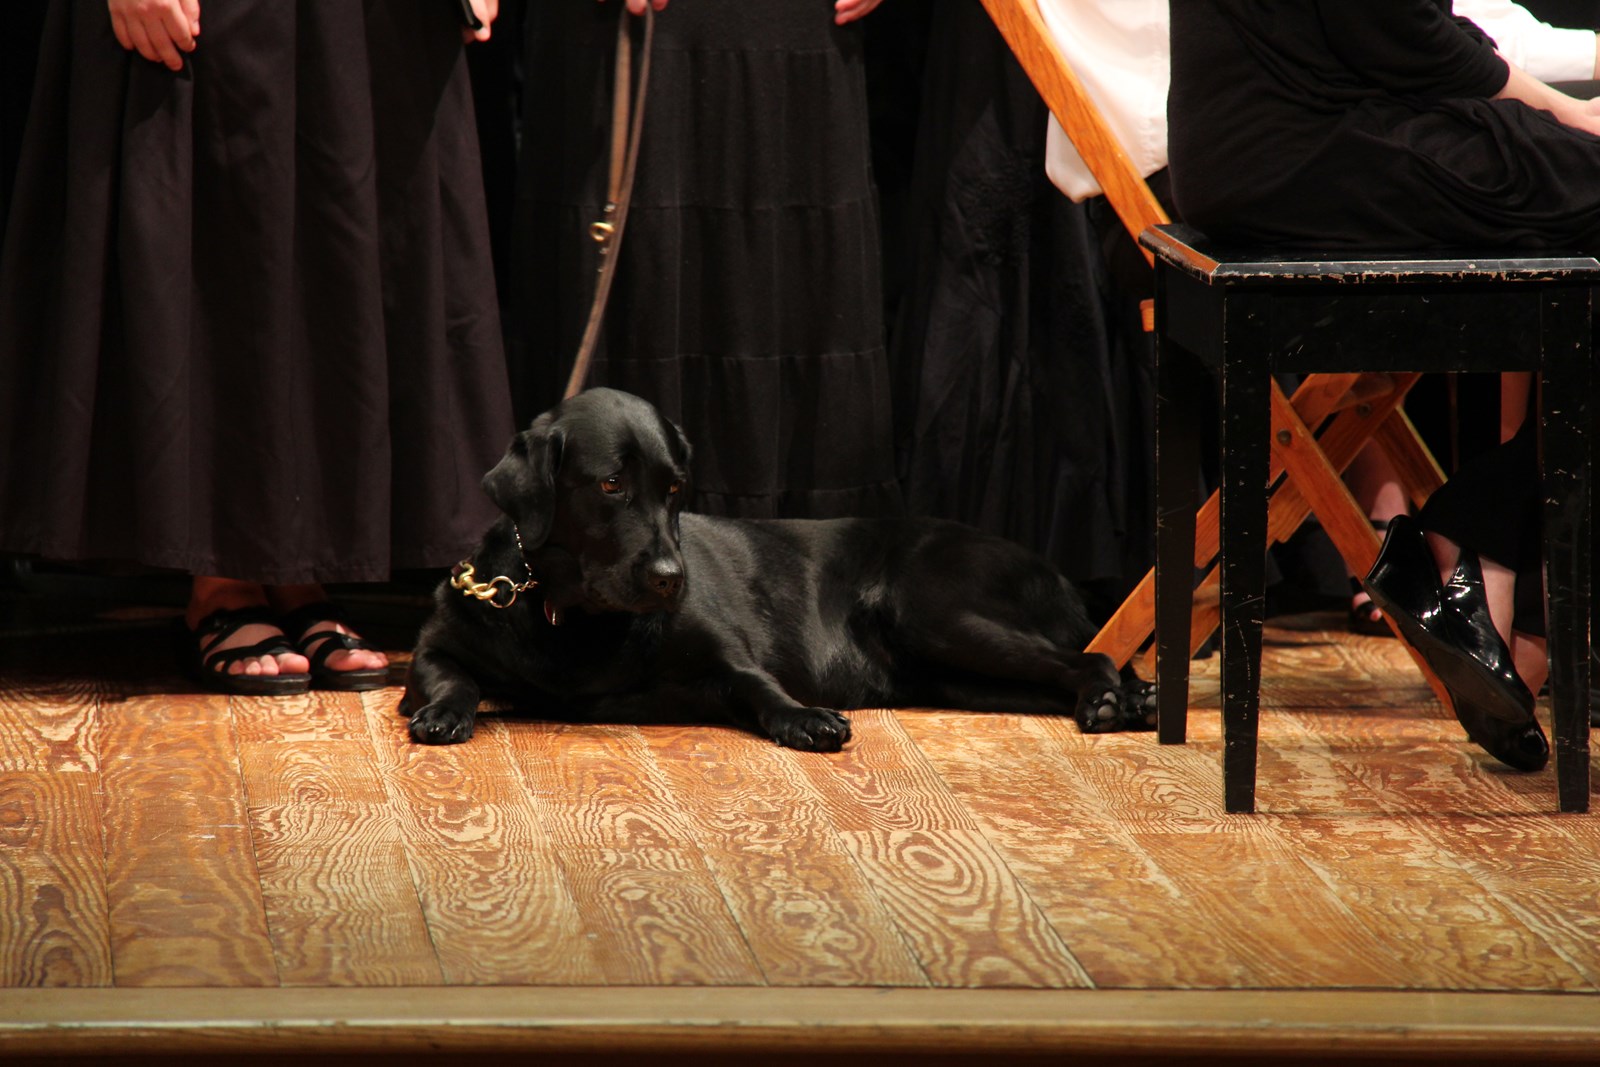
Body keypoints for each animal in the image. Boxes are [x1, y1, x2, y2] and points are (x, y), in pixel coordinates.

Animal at [401, 389, 1156, 749]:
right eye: (612, 484)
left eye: (674, 487)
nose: (672, 578)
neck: (577, 622)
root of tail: (1056, 571)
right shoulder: (435, 646)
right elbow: (451, 677)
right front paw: (442, 713)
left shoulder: (728, 659)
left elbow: (761, 687)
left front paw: (806, 718)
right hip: (955, 675)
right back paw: (1129, 702)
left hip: (939, 614)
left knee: (1089, 657)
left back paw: (1113, 700)